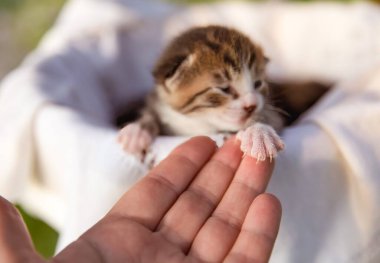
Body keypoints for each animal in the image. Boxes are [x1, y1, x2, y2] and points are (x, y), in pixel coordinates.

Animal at [119, 25, 284, 161]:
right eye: (224, 88)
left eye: (258, 84)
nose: (252, 106)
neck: (197, 122)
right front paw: (138, 131)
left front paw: (258, 133)